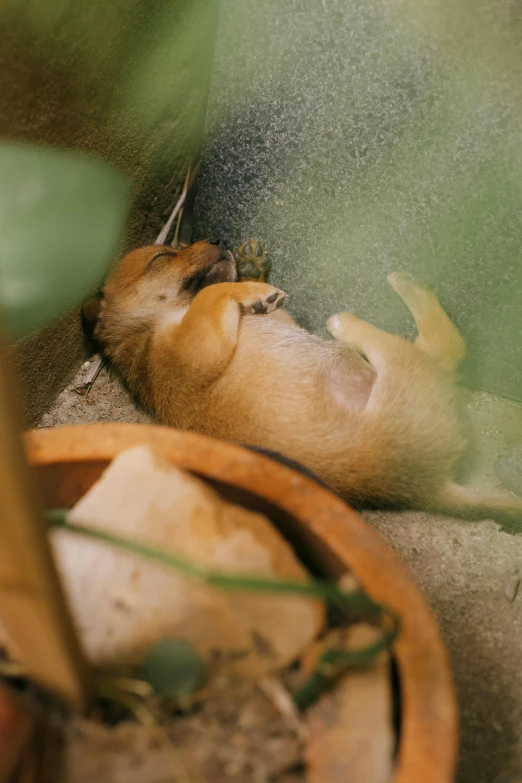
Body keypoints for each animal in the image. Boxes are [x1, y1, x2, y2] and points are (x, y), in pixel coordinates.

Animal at [85, 239, 520, 528]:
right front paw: (250, 288)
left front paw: (252, 268)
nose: (219, 241)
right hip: (402, 371)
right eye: (162, 257)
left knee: (446, 349)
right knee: (442, 345)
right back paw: (362, 313)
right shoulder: (196, 349)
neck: (144, 330)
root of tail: (430, 488)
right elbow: (215, 292)